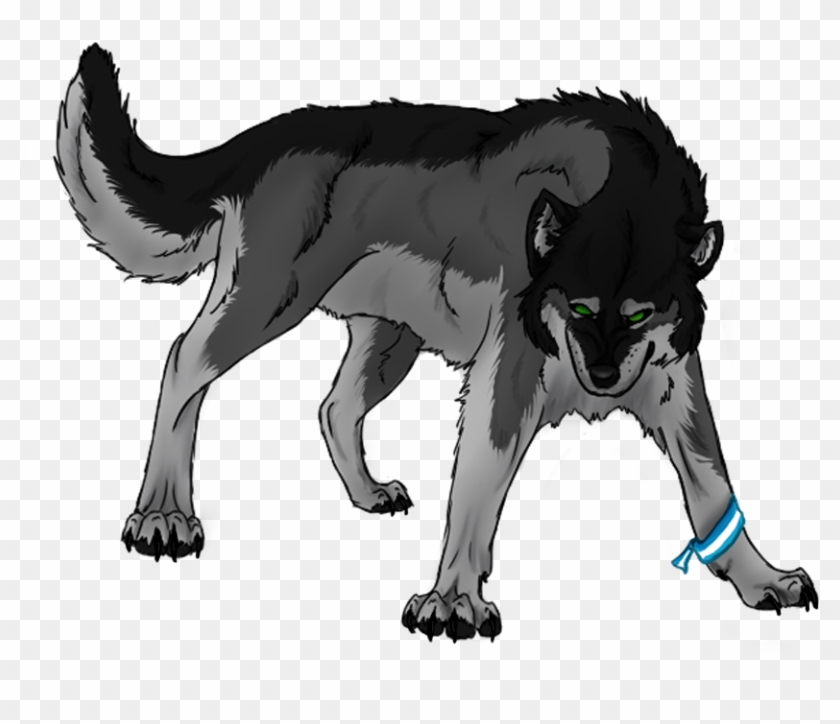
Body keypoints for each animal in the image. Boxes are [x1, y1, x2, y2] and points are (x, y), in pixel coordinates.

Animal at [55, 44, 818, 641]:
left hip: (389, 342)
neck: (622, 195)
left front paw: (762, 580)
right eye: (576, 307)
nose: (602, 379)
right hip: (269, 301)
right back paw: (162, 515)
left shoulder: (675, 384)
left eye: (639, 316)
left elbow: (715, 490)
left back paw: (366, 494)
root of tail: (268, 136)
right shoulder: (507, 376)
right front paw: (453, 601)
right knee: (182, 362)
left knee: (333, 407)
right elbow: (477, 487)